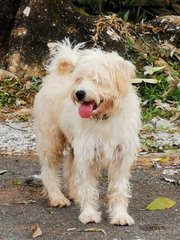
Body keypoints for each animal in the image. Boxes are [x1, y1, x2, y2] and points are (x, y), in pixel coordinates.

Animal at [33, 39, 141, 225]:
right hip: (51, 140)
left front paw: (120, 215)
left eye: (98, 80)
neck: (104, 118)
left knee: (69, 168)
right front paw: (89, 213)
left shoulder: (120, 157)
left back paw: (74, 194)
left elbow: (119, 188)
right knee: (49, 170)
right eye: (79, 79)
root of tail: (59, 72)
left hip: (73, 146)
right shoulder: (88, 153)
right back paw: (57, 197)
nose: (79, 94)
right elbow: (88, 187)